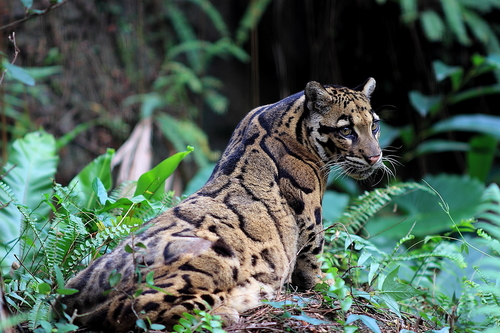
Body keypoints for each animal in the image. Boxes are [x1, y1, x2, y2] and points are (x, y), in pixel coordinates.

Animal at [59, 78, 386, 330]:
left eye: (375, 126)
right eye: (346, 130)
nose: (375, 157)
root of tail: (78, 299)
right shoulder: (310, 220)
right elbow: (313, 263)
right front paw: (329, 285)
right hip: (213, 257)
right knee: (139, 311)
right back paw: (225, 312)